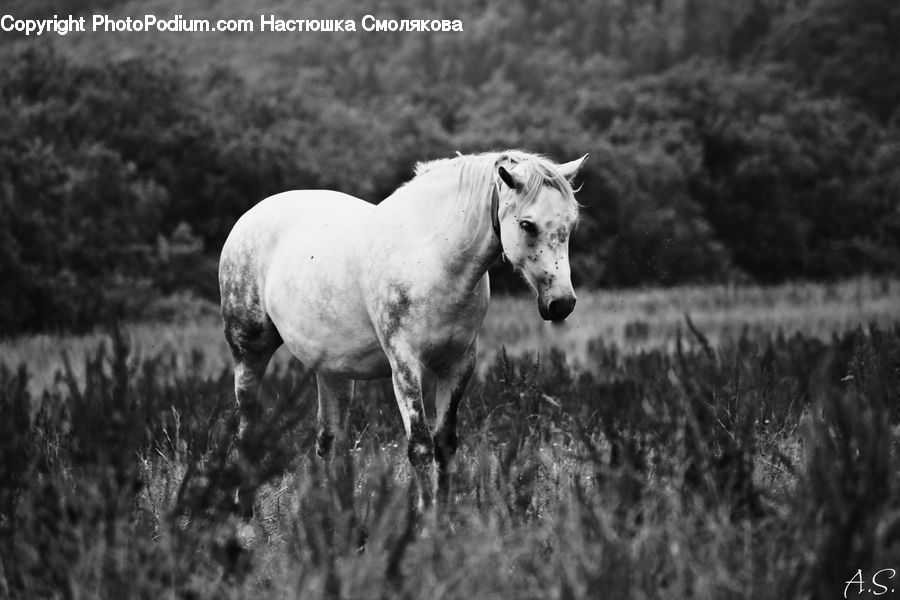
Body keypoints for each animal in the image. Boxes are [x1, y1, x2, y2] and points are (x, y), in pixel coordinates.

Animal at [218, 149, 587, 513]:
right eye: (527, 224)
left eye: (571, 224)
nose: (562, 303)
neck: (435, 257)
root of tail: (249, 217)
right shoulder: (405, 365)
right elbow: (420, 447)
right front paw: (424, 521)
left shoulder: (458, 364)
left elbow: (444, 444)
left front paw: (442, 518)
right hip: (249, 351)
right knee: (247, 426)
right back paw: (245, 510)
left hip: (333, 370)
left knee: (328, 439)